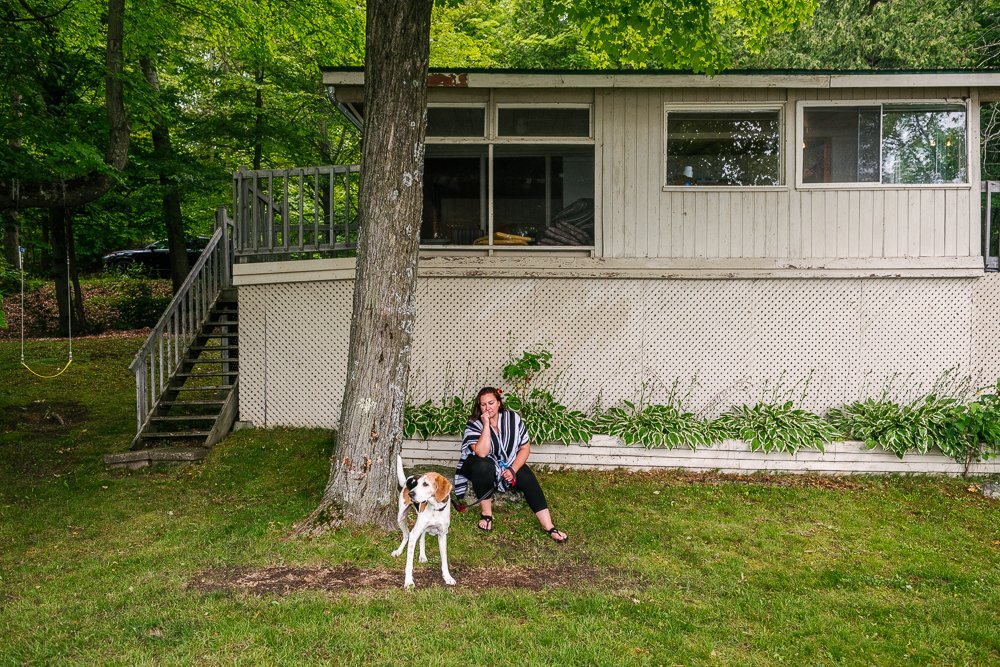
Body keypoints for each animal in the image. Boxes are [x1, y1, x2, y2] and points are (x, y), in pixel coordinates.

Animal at [390, 454, 458, 588]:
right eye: (418, 484)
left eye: (426, 484)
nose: (411, 494)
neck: (435, 508)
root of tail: (410, 478)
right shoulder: (415, 533)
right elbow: (409, 563)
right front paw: (408, 581)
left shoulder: (443, 535)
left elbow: (444, 560)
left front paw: (447, 577)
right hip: (401, 517)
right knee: (407, 535)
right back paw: (398, 551)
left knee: (421, 537)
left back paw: (422, 556)